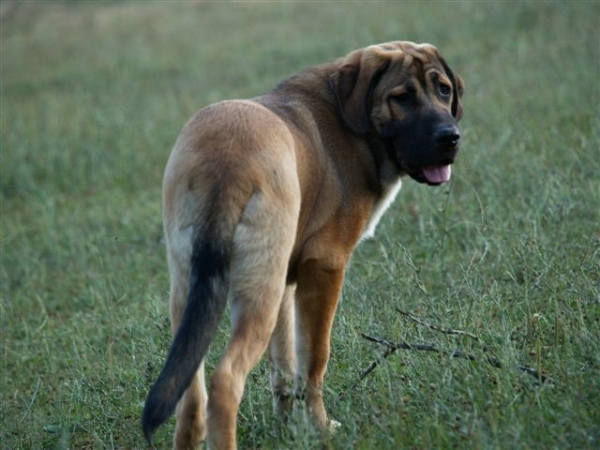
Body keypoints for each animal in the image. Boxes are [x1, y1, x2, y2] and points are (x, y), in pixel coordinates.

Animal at [142, 40, 464, 448]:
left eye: (444, 90)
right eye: (402, 97)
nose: (450, 137)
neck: (352, 126)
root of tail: (224, 161)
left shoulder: (286, 282)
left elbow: (284, 366)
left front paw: (289, 429)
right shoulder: (324, 268)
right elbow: (314, 361)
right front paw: (319, 427)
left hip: (193, 292)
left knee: (191, 393)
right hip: (256, 296)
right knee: (225, 381)